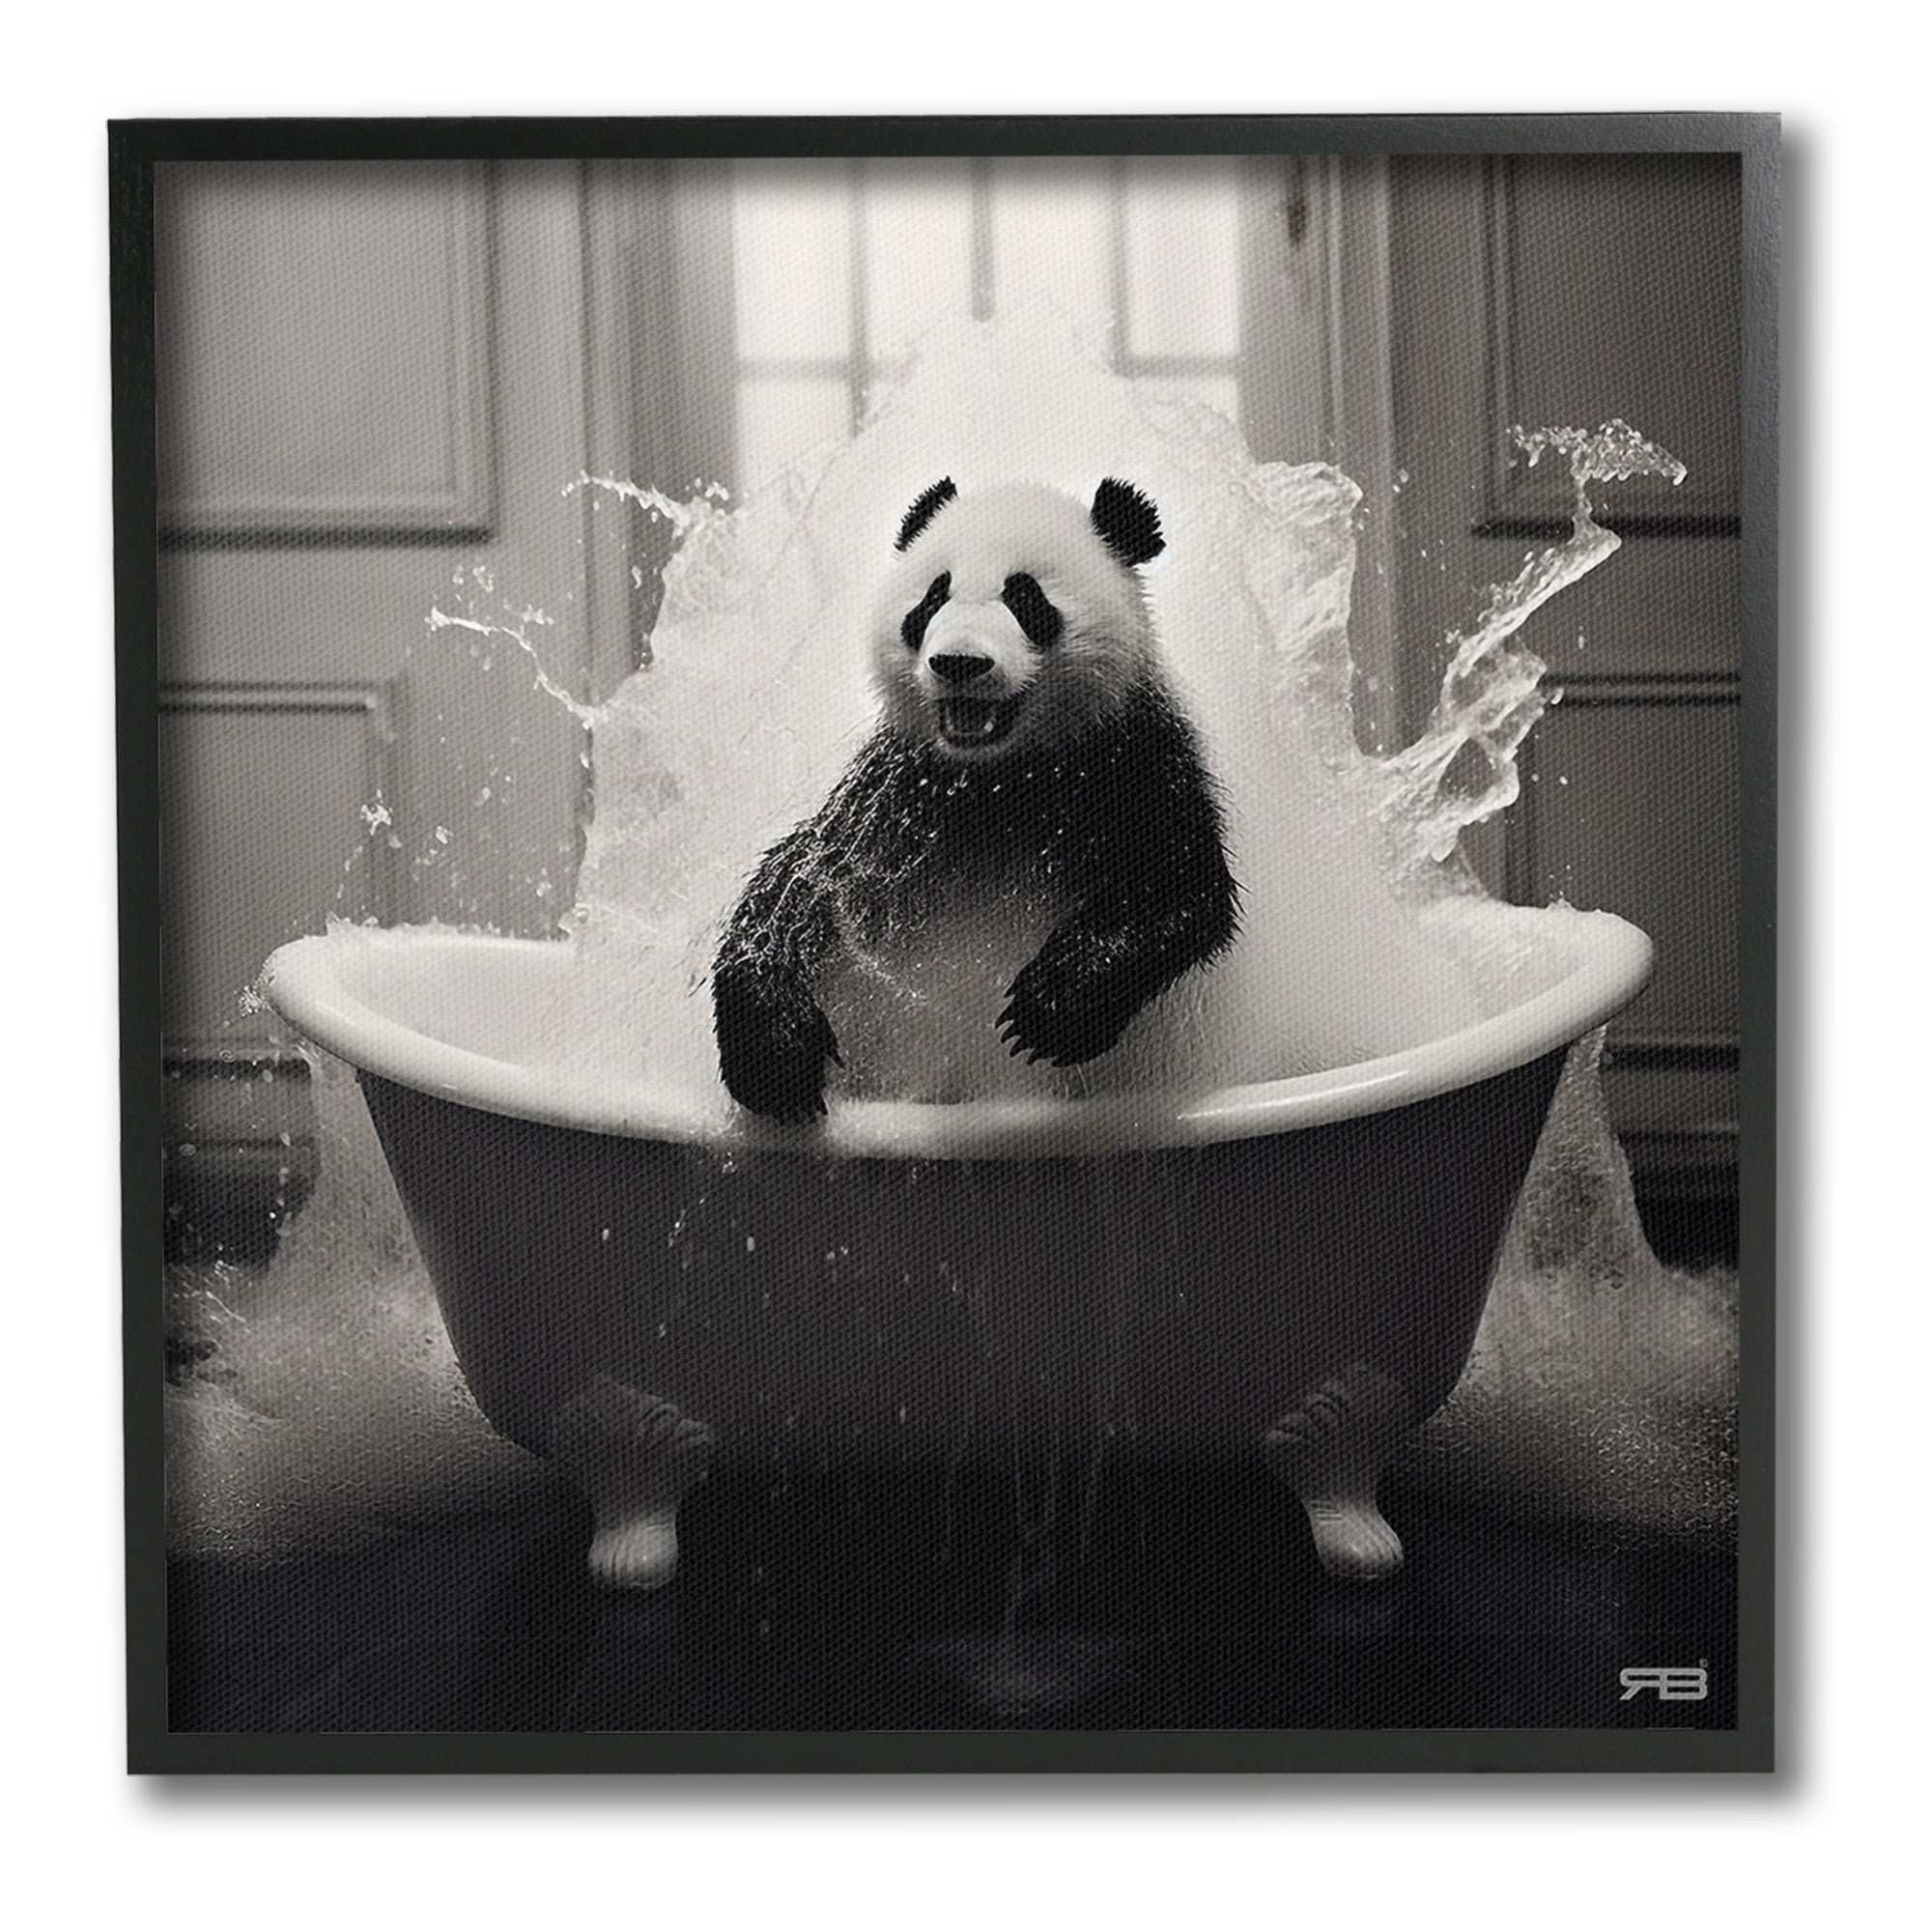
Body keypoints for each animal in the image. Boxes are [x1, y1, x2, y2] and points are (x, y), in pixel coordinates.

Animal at [710, 475, 1241, 1122]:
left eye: (1027, 600)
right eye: (932, 599)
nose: (959, 662)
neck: (999, 774)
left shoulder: (1128, 757)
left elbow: (1178, 883)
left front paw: (1052, 1008)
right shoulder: (901, 796)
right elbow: (800, 884)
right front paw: (775, 1055)